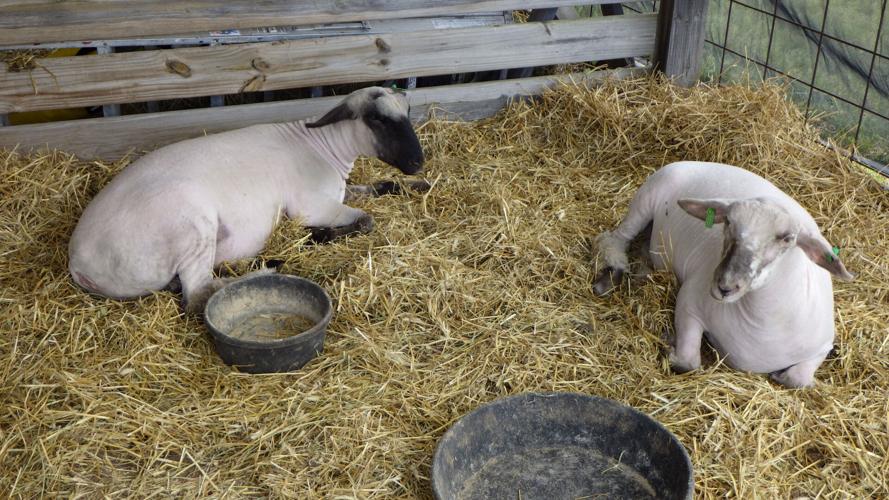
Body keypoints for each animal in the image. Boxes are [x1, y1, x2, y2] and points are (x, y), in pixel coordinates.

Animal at [69, 86, 425, 314]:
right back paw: (269, 267)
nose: (418, 162)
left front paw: (419, 185)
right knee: (197, 296)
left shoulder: (338, 193)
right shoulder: (311, 205)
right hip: (192, 227)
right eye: (378, 119)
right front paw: (317, 236)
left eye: (408, 112)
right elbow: (366, 220)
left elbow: (383, 186)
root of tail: (78, 264)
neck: (326, 147)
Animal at [593, 161, 853, 388]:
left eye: (787, 238)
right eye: (727, 221)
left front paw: (781, 375)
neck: (762, 321)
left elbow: (797, 380)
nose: (725, 286)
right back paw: (610, 276)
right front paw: (669, 344)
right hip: (646, 198)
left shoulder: (822, 347)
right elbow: (687, 363)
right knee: (614, 239)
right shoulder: (689, 303)